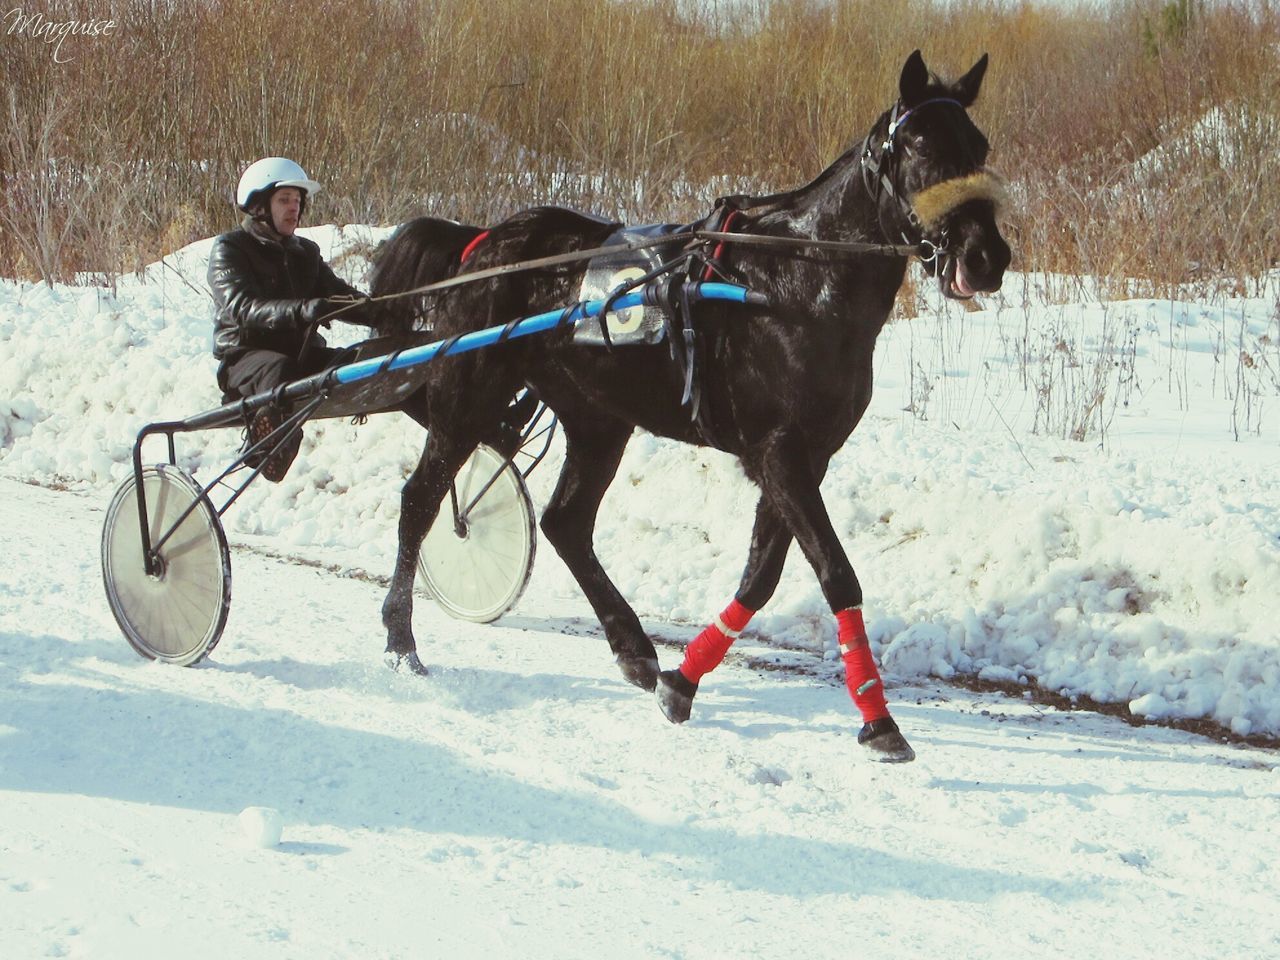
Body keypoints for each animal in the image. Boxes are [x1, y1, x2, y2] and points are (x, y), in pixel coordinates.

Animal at [366, 52, 1003, 762]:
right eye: (920, 145)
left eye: (978, 145)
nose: (986, 256)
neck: (796, 283)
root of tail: (481, 241)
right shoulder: (777, 451)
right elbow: (835, 573)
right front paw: (878, 718)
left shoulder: (805, 456)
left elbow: (761, 575)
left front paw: (682, 681)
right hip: (468, 395)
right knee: (421, 501)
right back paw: (401, 640)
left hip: (598, 418)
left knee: (565, 522)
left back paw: (634, 648)